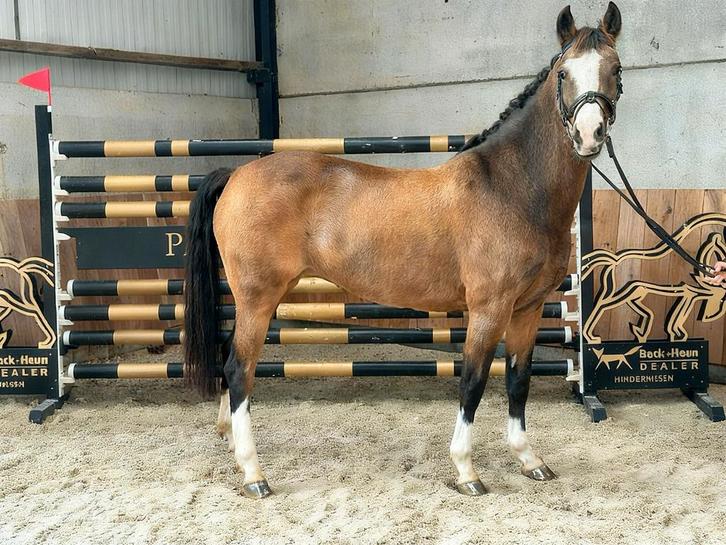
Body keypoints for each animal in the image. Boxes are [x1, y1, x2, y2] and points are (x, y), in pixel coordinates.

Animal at [184, 2, 624, 498]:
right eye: (564, 73)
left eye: (615, 69)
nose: (589, 134)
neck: (511, 187)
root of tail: (237, 174)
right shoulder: (488, 309)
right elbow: (473, 382)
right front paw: (466, 471)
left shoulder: (527, 310)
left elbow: (518, 380)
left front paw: (530, 460)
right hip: (258, 298)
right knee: (239, 369)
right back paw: (254, 473)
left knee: (229, 360)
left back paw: (231, 443)